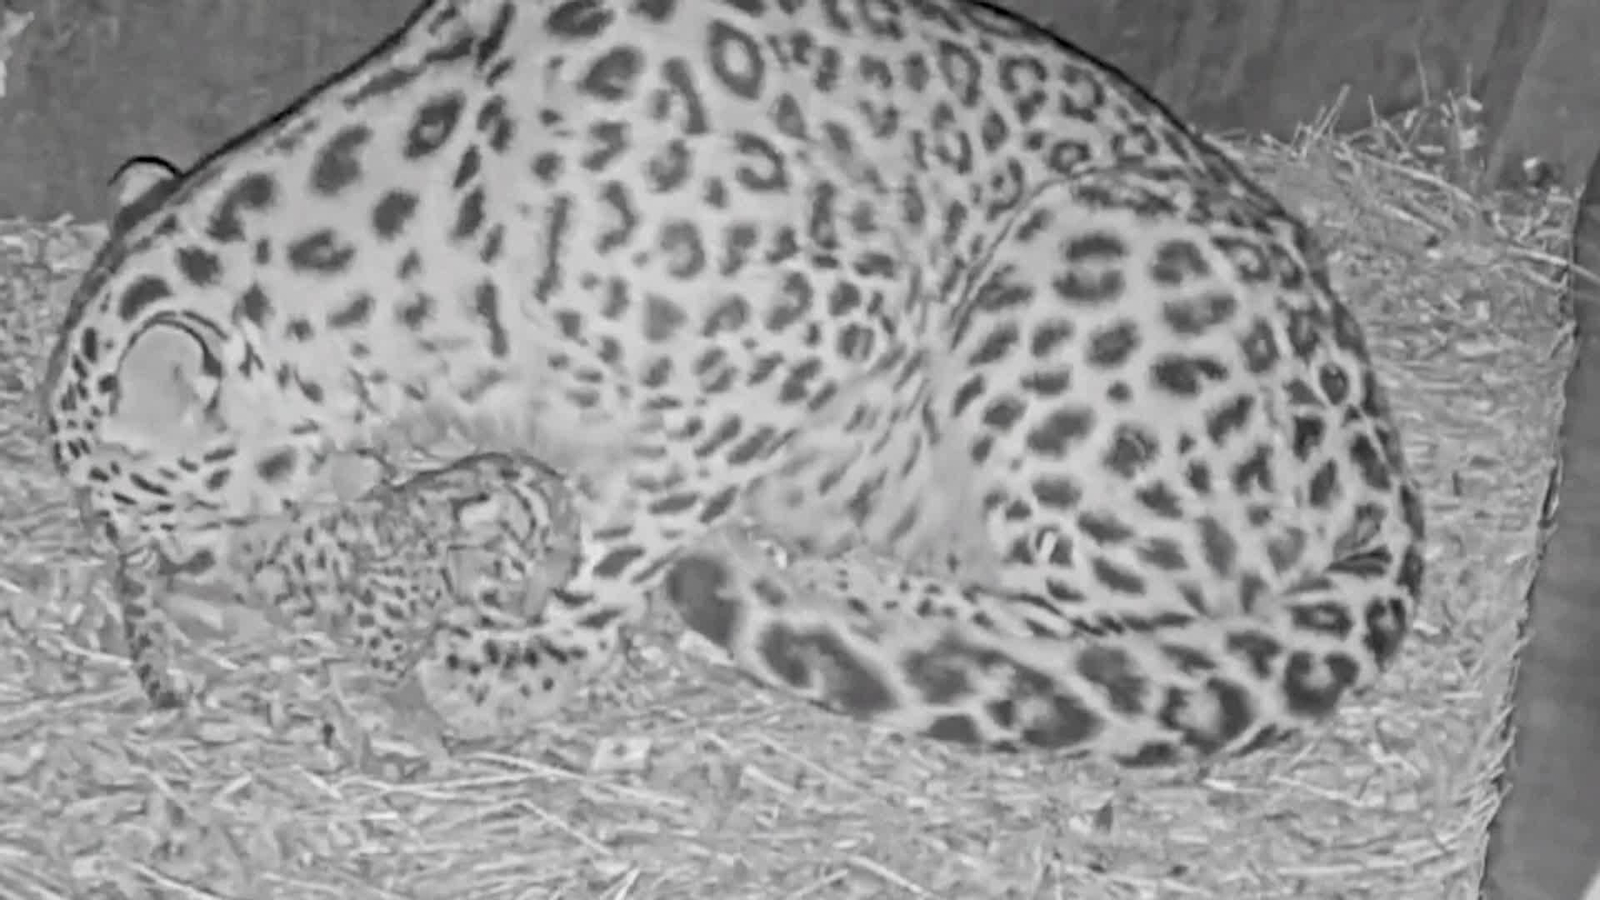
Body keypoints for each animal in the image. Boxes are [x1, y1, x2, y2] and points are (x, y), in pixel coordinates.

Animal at [40, 0, 1425, 766]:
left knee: (1098, 614)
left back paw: (842, 581)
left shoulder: (830, 319)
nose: (163, 581)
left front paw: (525, 659)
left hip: (1075, 261)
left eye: (137, 511)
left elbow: (644, 516)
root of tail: (1381, 465)